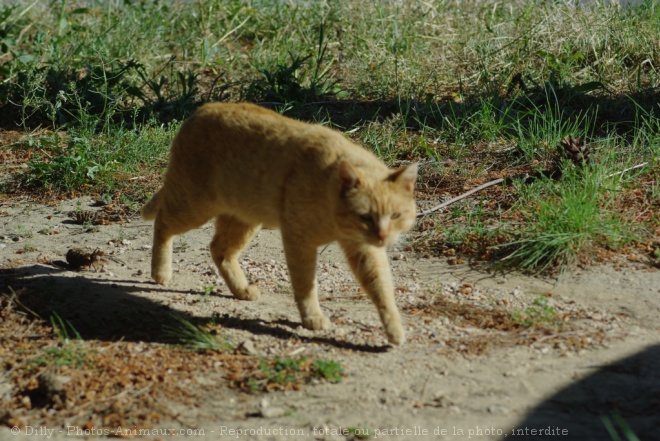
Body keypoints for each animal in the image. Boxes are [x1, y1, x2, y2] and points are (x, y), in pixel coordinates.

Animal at [143, 102, 418, 344]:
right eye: (365, 216)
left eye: (395, 216)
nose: (383, 237)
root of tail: (200, 110)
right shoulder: (299, 241)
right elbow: (305, 284)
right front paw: (312, 317)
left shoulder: (364, 250)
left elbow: (381, 289)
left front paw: (394, 329)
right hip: (194, 206)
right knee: (162, 222)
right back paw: (161, 272)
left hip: (243, 219)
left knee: (219, 250)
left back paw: (242, 290)